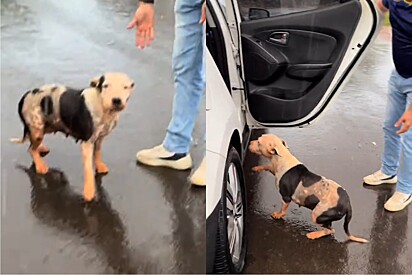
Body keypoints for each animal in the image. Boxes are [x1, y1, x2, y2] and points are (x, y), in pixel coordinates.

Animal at [10, 73, 135, 203]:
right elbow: (88, 169)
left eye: (125, 87)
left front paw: (99, 166)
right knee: (31, 149)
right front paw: (89, 192)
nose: (116, 100)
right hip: (37, 128)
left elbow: (98, 153)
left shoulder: (100, 138)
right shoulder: (87, 143)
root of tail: (26, 94)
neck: (103, 107)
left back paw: (41, 148)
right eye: (106, 86)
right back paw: (40, 165)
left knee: (32, 142)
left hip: (46, 126)